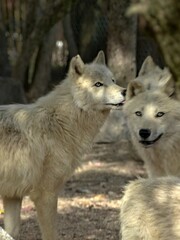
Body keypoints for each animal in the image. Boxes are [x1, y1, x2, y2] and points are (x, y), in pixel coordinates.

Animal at [0, 51, 125, 240]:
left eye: (113, 80)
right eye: (98, 84)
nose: (125, 91)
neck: (59, 122)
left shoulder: (12, 195)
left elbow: (12, 232)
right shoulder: (45, 195)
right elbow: (51, 235)